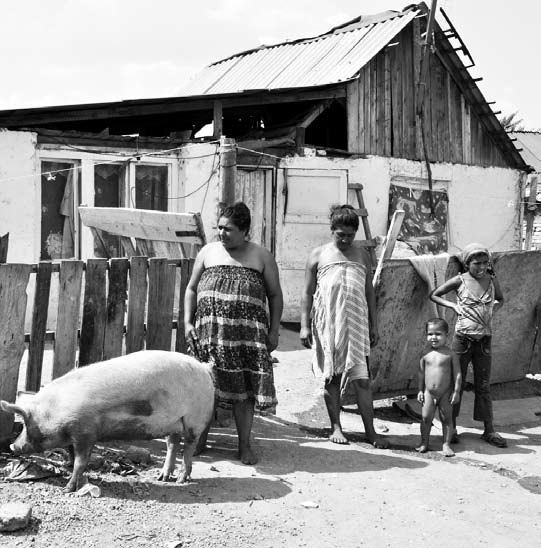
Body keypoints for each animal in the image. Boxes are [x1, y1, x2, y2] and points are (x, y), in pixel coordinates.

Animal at [0, 348, 215, 494]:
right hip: (174, 423)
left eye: (26, 424)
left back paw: (181, 480)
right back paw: (162, 478)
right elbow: (73, 456)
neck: (56, 410)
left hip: (195, 419)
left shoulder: (86, 432)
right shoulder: (76, 434)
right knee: (172, 444)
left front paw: (67, 489)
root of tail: (204, 369)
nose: (12, 446)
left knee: (189, 447)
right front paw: (72, 474)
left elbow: (80, 461)